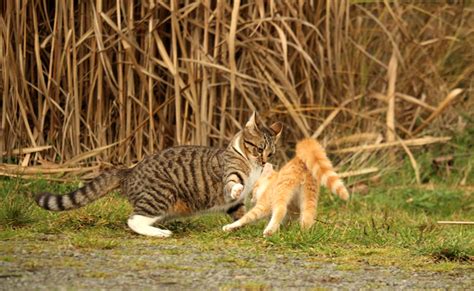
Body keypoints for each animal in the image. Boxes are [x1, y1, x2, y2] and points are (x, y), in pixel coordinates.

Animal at [37, 113, 284, 238]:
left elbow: (240, 213)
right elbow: (233, 183)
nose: (264, 161)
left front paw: (242, 226)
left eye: (270, 153)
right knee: (133, 220)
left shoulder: (235, 204)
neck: (250, 165)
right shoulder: (229, 174)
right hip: (160, 195)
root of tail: (129, 170)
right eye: (258, 148)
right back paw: (160, 233)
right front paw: (238, 189)